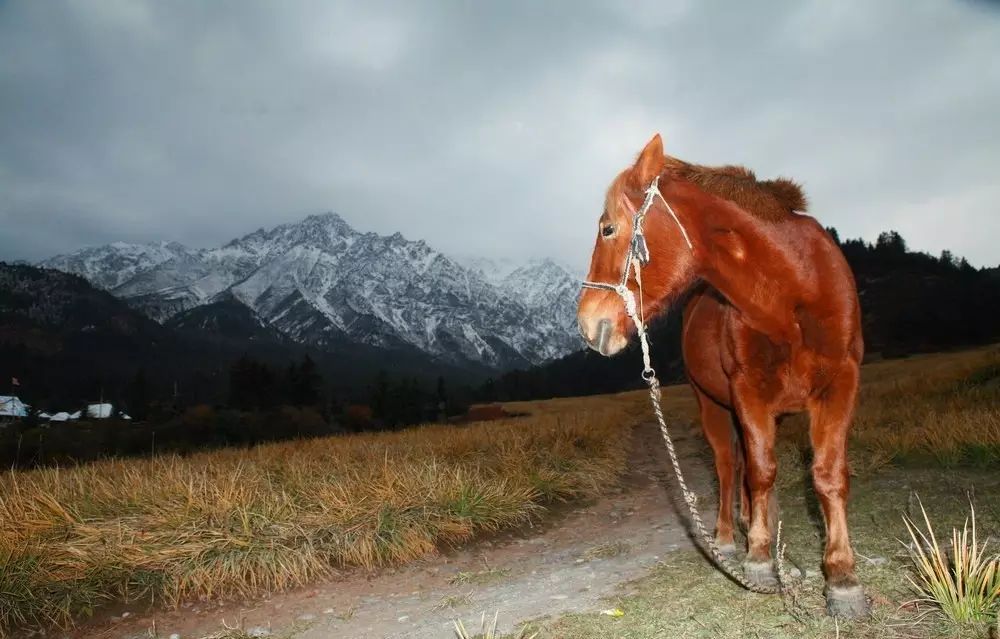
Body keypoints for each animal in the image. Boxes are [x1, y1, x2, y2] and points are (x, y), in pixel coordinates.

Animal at [580, 135, 868, 620]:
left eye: (607, 230)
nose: (586, 324)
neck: (793, 294)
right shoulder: (748, 392)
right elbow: (760, 472)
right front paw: (758, 559)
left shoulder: (839, 385)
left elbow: (828, 476)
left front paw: (842, 577)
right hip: (712, 405)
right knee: (730, 466)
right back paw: (732, 537)